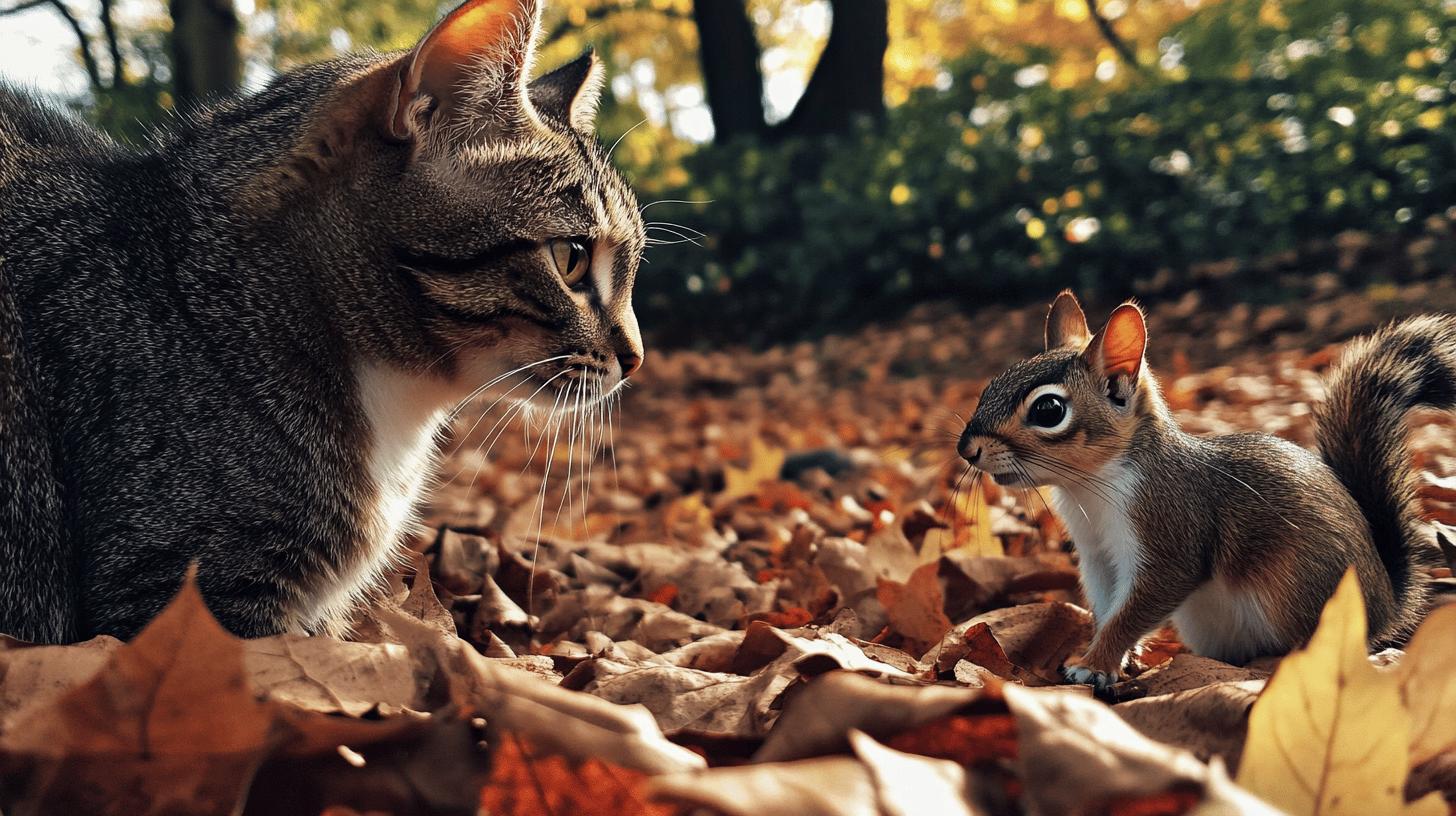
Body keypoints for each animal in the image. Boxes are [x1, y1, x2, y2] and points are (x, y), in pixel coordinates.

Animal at [958, 290, 1451, 689]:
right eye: (992, 384)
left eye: (1048, 409)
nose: (967, 449)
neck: (1088, 488)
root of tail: (1385, 608)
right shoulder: (1098, 556)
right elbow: (1107, 605)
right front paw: (1120, 658)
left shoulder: (1171, 529)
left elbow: (1135, 608)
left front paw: (1093, 664)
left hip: (1303, 594)